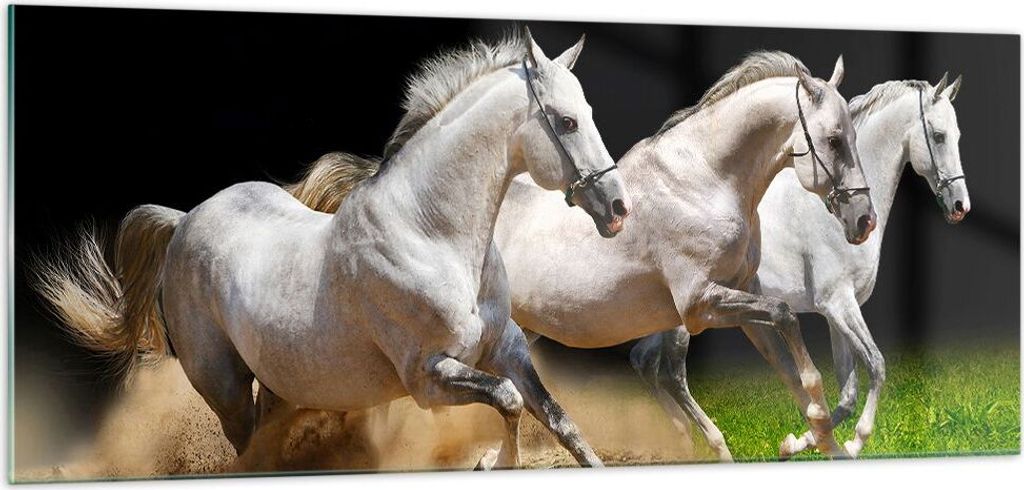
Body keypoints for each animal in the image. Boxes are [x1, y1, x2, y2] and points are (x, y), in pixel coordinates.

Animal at [31, 28, 631, 470]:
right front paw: (492, 463)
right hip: (225, 388)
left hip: (280, 385)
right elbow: (508, 400)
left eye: (590, 112)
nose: (618, 207)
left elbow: (557, 419)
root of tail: (184, 222)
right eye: (566, 121)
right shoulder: (429, 377)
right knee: (247, 451)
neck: (431, 234)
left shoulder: (505, 346)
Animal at [285, 51, 877, 459]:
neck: (704, 180)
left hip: (515, 334)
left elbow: (793, 366)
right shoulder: (702, 305)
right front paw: (819, 428)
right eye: (833, 139)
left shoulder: (742, 300)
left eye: (851, 135)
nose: (864, 221)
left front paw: (825, 440)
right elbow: (789, 324)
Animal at [634, 73, 968, 460]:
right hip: (688, 318)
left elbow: (848, 392)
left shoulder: (837, 313)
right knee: (671, 374)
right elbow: (877, 365)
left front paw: (801, 442)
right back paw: (712, 445)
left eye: (957, 135)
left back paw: (680, 437)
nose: (960, 206)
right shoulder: (839, 304)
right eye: (939, 135)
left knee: (644, 363)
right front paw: (852, 440)